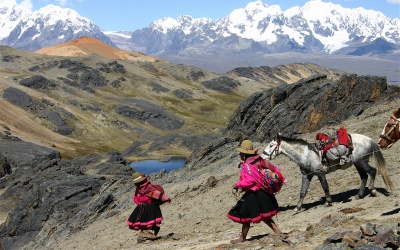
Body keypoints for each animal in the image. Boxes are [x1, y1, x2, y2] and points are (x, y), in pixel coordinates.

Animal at [260, 134, 392, 210]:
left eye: (271, 145)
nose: (262, 156)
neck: (306, 154)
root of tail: (368, 139)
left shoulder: (320, 173)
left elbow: (325, 187)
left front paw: (328, 202)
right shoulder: (307, 176)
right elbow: (302, 192)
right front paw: (298, 207)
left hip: (361, 162)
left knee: (372, 171)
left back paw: (373, 190)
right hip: (358, 163)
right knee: (364, 176)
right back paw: (358, 195)